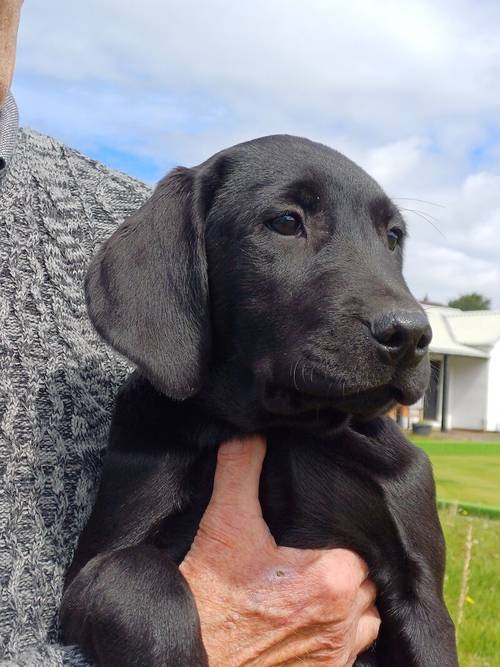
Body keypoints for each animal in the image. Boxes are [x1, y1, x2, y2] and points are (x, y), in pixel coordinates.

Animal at [60, 136, 458, 667]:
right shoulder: (94, 569)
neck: (286, 424)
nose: (411, 334)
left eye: (393, 237)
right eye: (287, 222)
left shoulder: (422, 596)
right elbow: (142, 583)